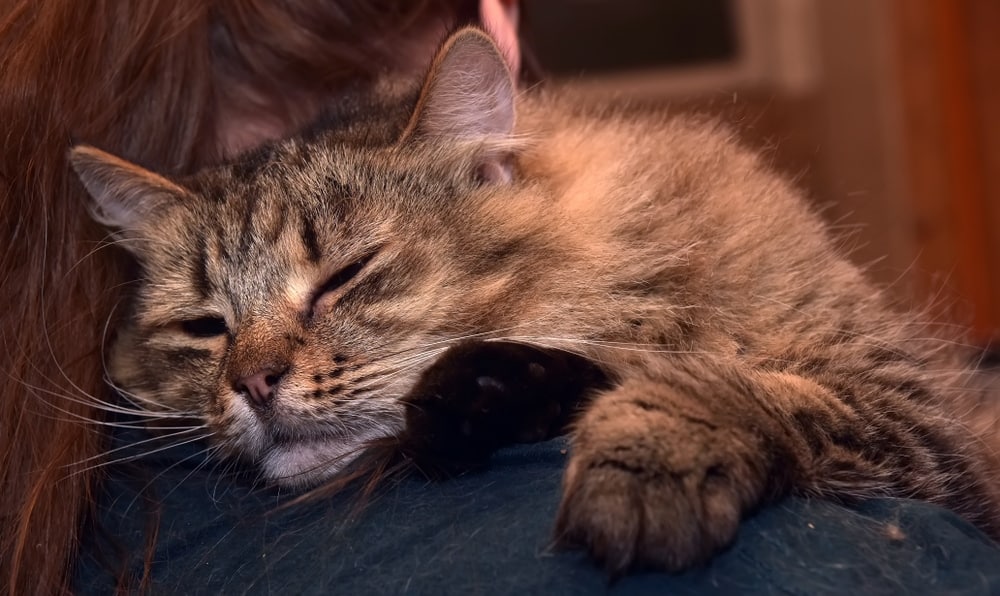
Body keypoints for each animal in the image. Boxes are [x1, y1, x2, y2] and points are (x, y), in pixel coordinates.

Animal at [68, 28, 1000, 572]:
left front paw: (646, 455)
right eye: (204, 327)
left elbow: (736, 389)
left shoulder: (920, 416)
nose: (253, 384)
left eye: (345, 276)